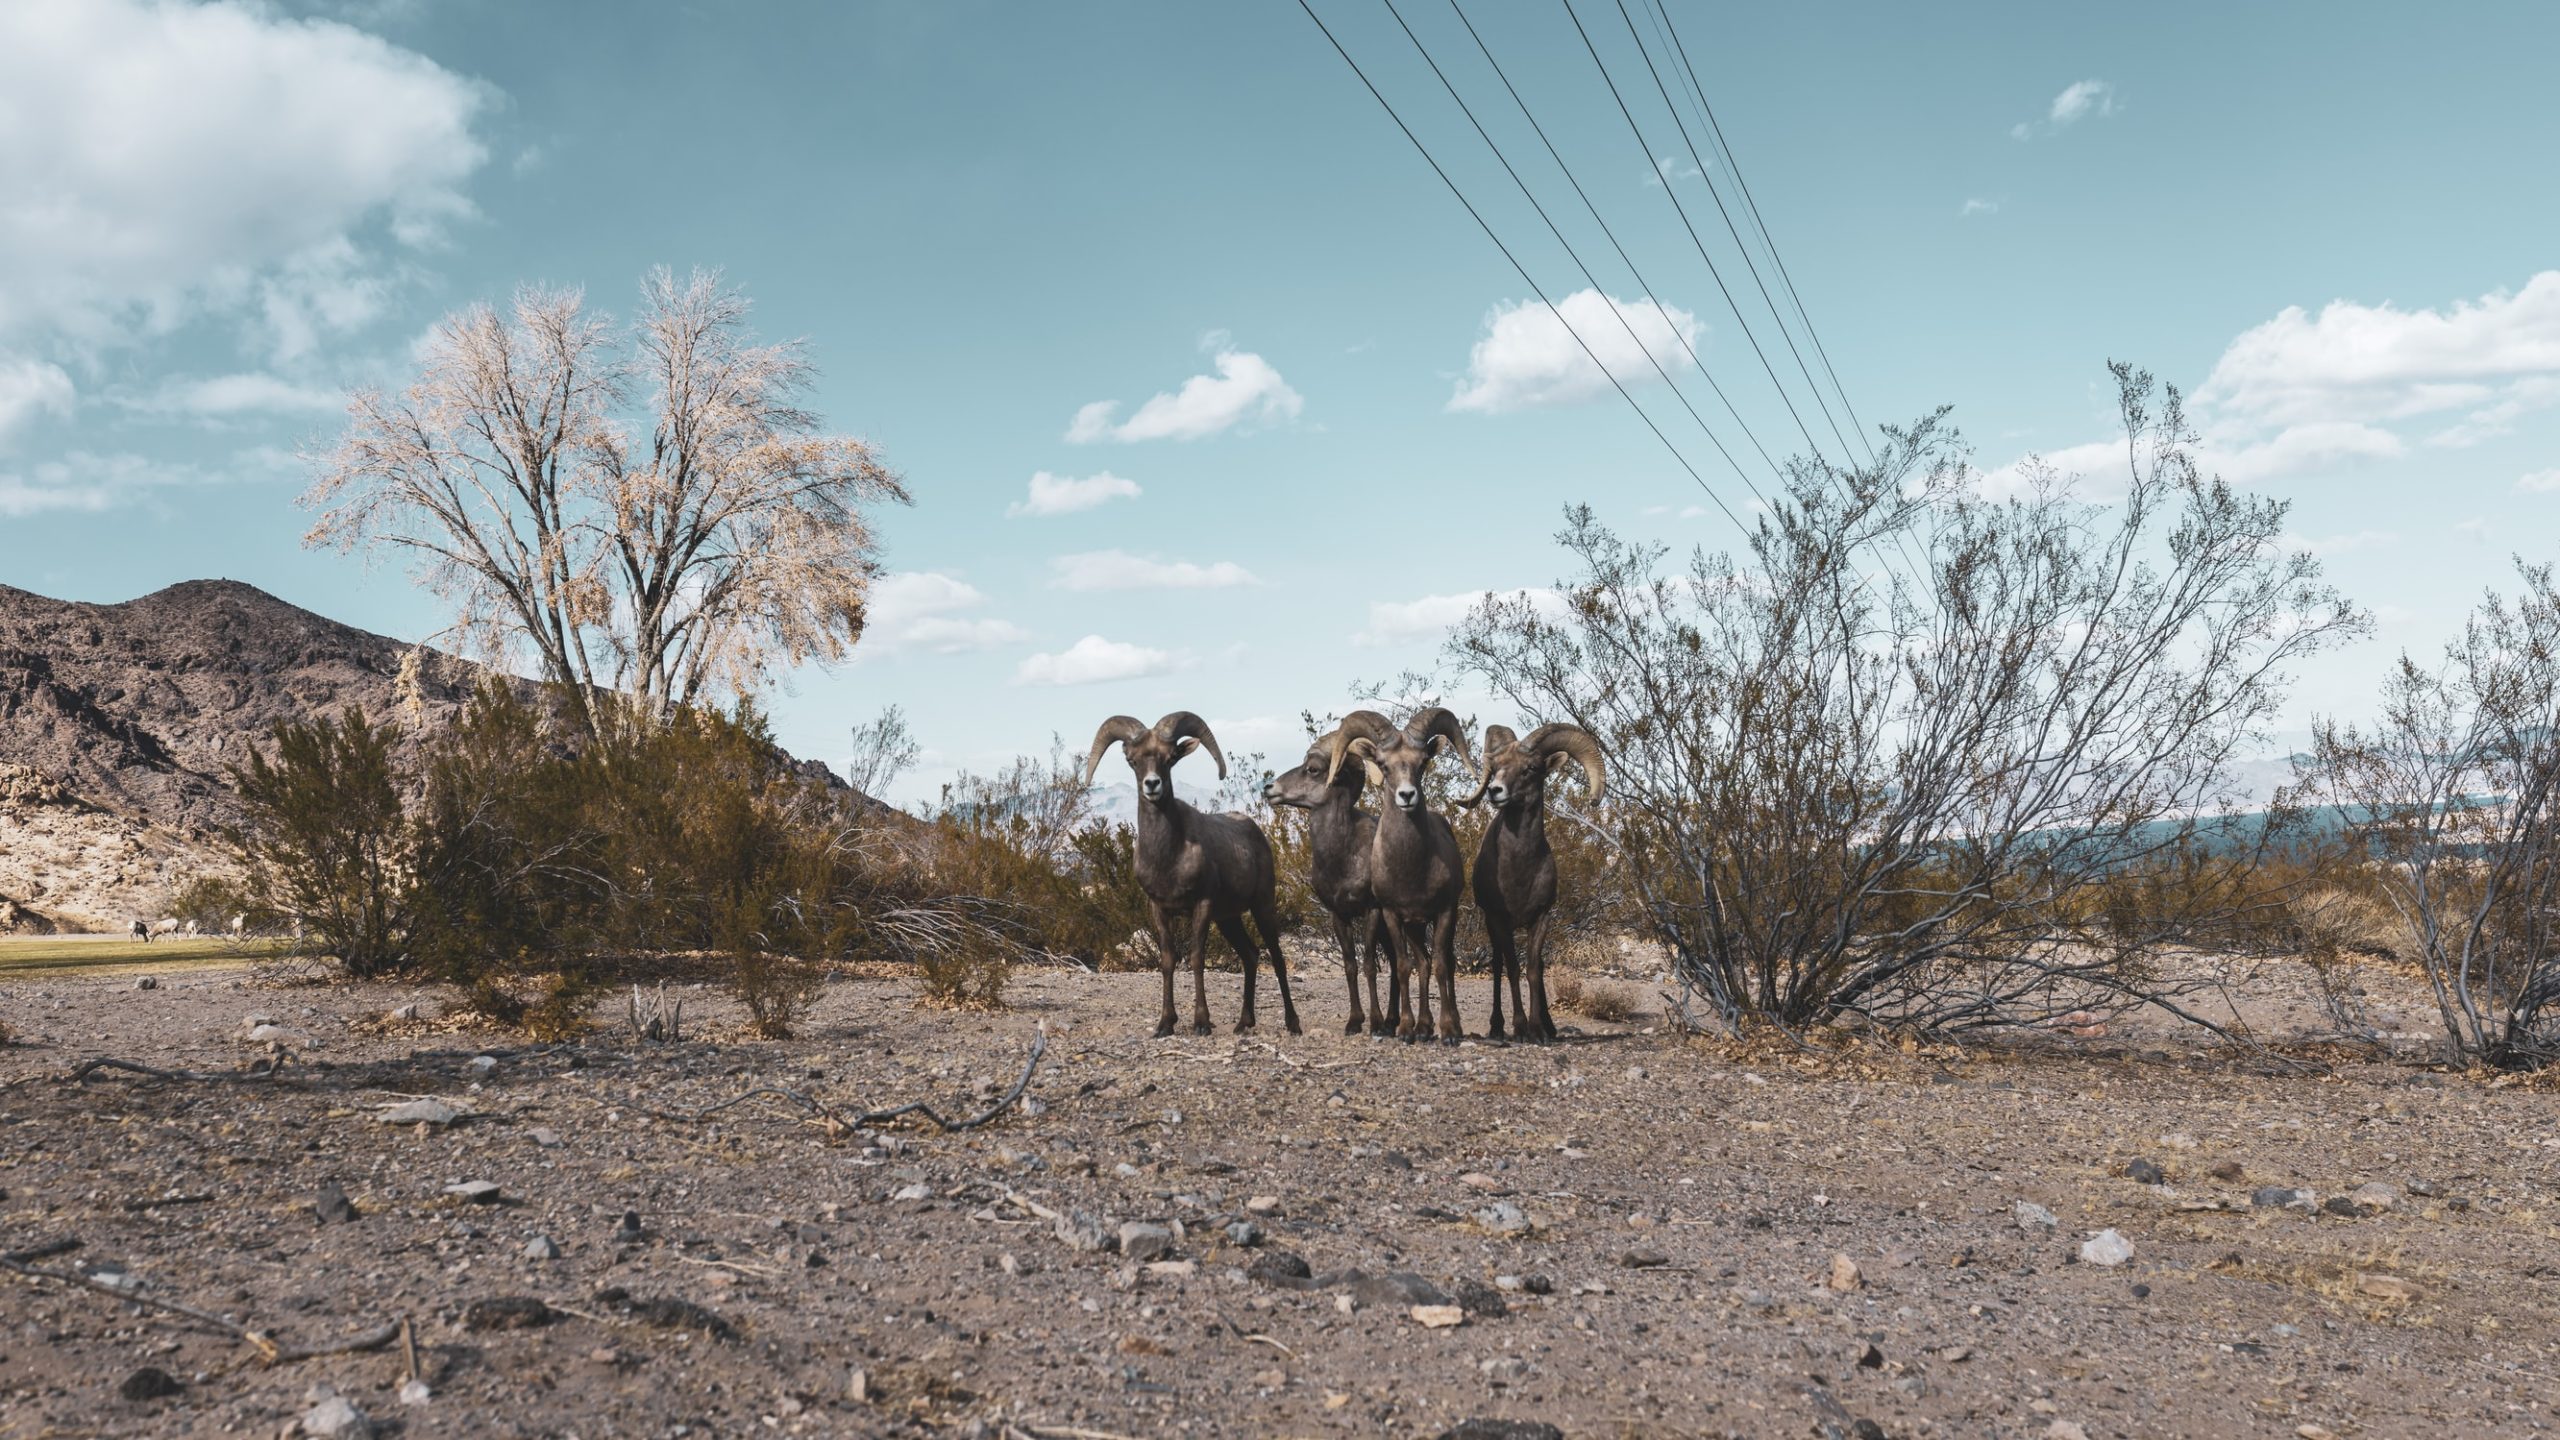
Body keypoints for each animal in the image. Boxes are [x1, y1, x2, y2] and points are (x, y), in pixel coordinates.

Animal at [1080, 707, 1300, 1030]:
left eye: (1170, 757)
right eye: (1132, 760)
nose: (1152, 785)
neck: (1168, 857)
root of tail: (1255, 832)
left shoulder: (1202, 905)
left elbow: (1196, 958)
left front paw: (1201, 1022)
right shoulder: (1159, 909)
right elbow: (1168, 960)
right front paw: (1165, 1024)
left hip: (1262, 907)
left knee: (1276, 957)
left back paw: (1293, 1023)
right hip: (1229, 919)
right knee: (1250, 955)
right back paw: (1243, 1023)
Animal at [1269, 707, 1413, 1030]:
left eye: (1312, 769)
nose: (1269, 788)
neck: (1342, 857)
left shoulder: (1371, 911)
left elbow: (1369, 966)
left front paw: (1374, 1022)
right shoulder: (1338, 915)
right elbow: (1350, 966)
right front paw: (1354, 1022)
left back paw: (1395, 1022)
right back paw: (1393, 1019)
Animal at [1331, 707, 1474, 1040]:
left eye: (1422, 762)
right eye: (1384, 765)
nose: (1407, 796)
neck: (1412, 870)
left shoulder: (1445, 912)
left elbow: (1442, 966)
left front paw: (1449, 1030)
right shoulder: (1392, 915)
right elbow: (1404, 967)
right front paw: (1407, 1028)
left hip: (1436, 923)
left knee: (1444, 962)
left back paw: (1449, 1025)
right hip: (1414, 928)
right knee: (1421, 963)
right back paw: (1423, 1027)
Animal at [1464, 722, 1597, 1035]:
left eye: (1530, 768)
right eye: (1497, 766)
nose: (1495, 791)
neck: (1520, 872)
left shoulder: (1541, 917)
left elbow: (1535, 969)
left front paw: (1539, 1029)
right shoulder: (1500, 920)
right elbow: (1512, 967)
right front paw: (1521, 1027)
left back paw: (1549, 1026)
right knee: (1497, 964)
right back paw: (1498, 1027)